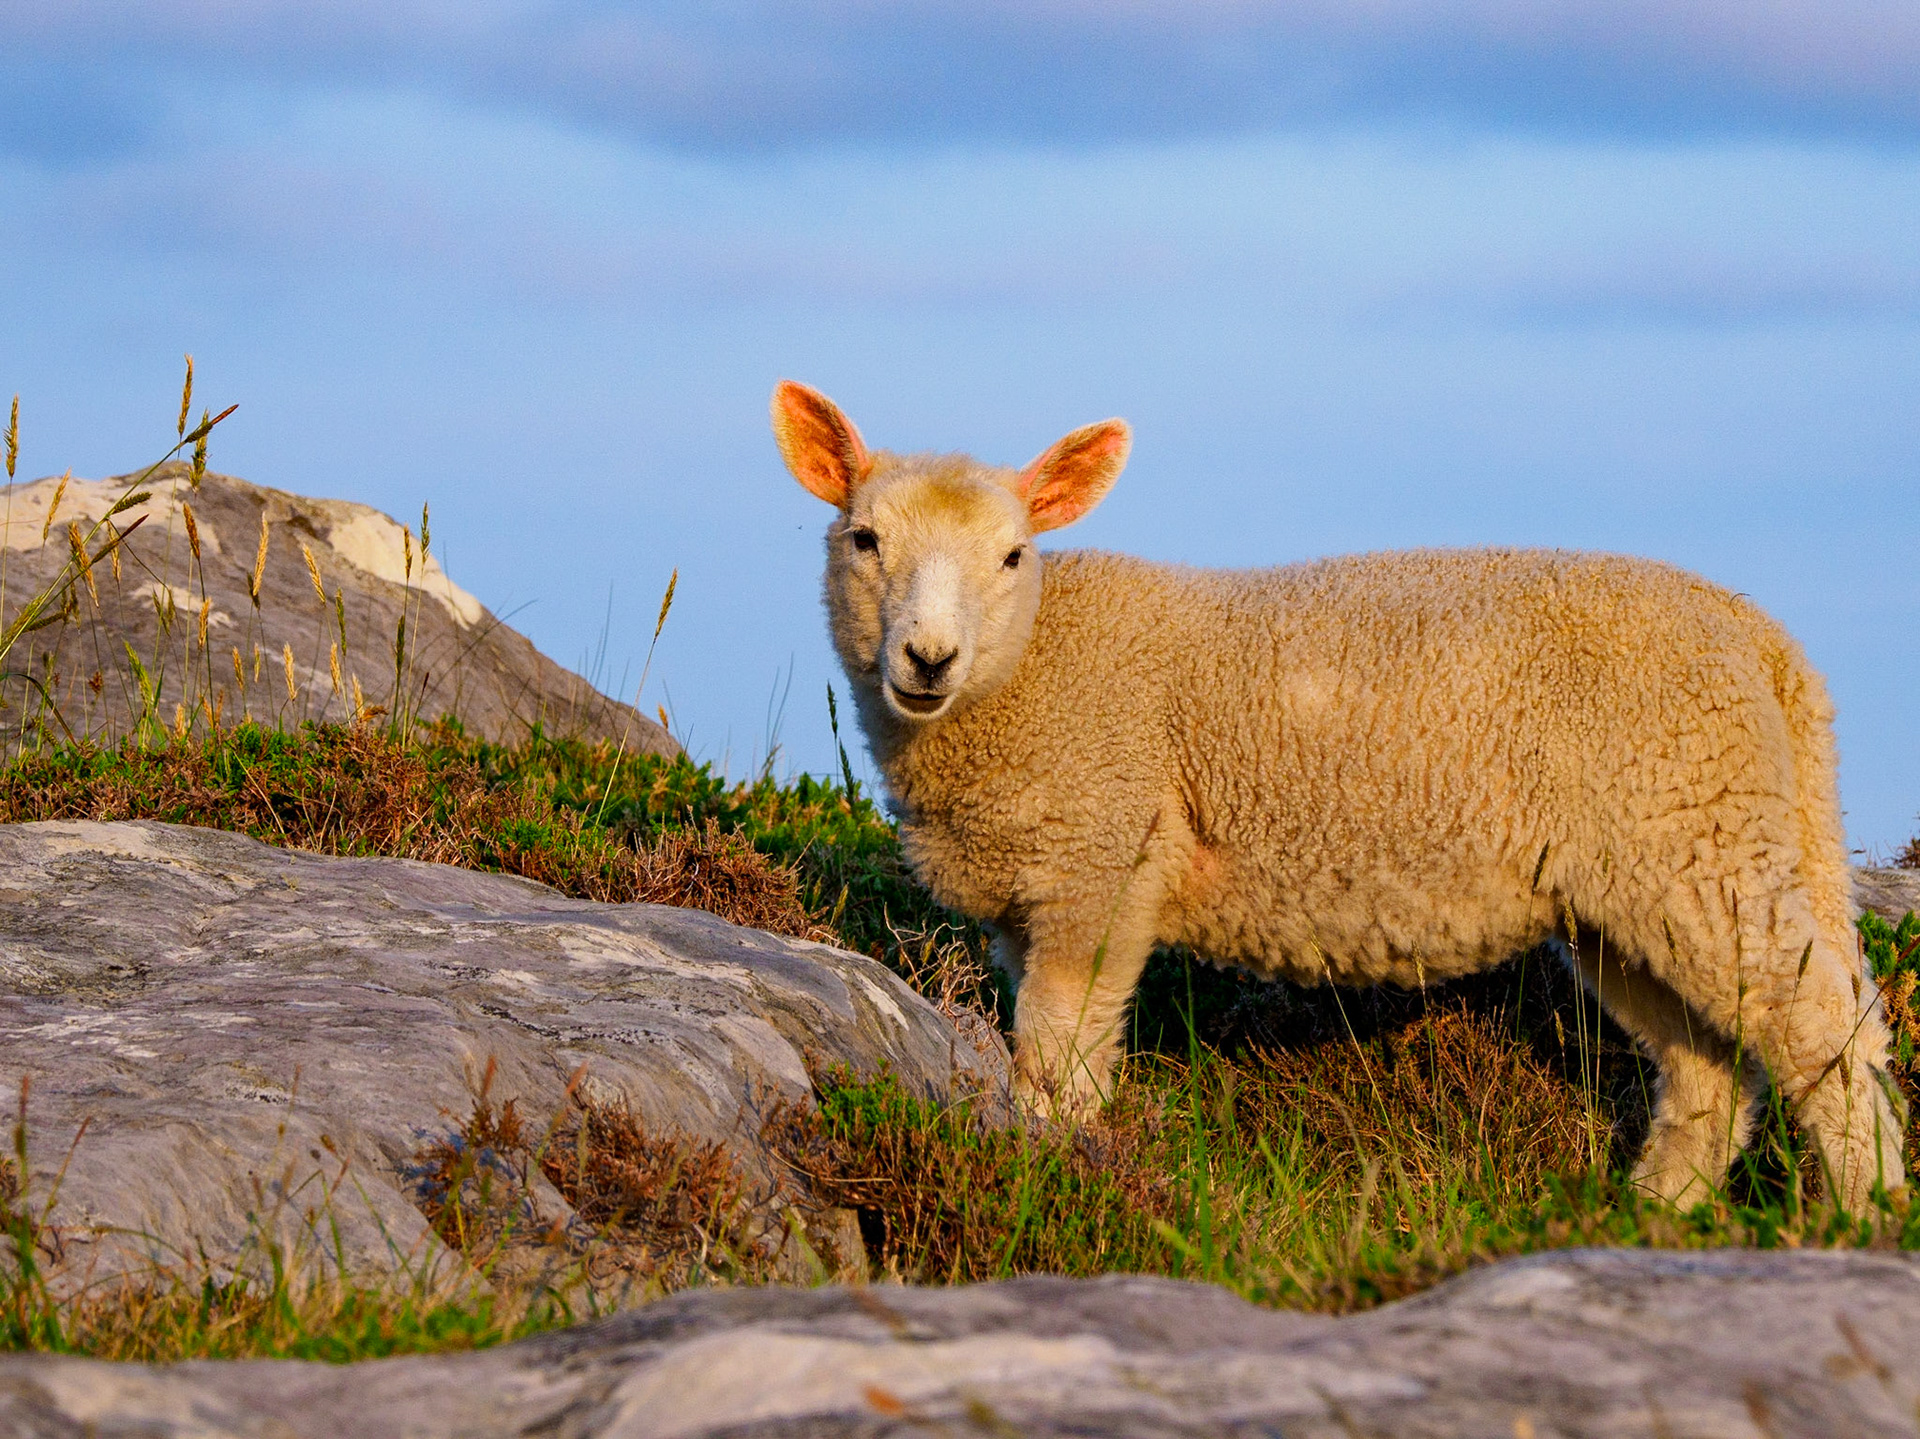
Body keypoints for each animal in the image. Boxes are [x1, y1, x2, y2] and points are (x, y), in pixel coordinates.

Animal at [770, 379, 1908, 1213]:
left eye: (1013, 555)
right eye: (863, 539)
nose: (927, 658)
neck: (1032, 669)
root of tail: (1766, 641)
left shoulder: (1104, 863)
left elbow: (1060, 1054)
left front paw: (1062, 1166)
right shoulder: (1032, 890)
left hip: (1695, 828)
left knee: (1824, 1024)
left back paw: (1868, 1211)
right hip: (1646, 875)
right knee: (1705, 1060)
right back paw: (1655, 1211)